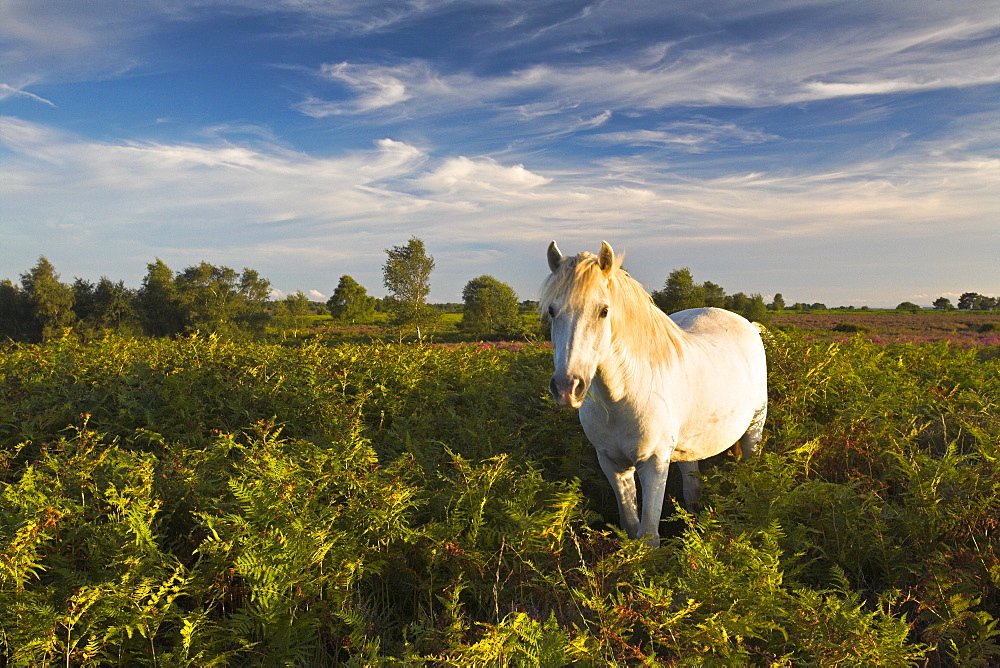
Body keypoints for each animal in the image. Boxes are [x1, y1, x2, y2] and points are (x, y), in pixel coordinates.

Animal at [540, 243, 764, 544]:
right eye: (552, 311)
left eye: (603, 311)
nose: (566, 388)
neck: (621, 398)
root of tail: (748, 325)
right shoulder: (612, 462)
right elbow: (630, 525)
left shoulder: (654, 463)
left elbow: (648, 538)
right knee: (692, 489)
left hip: (754, 431)